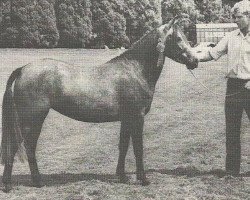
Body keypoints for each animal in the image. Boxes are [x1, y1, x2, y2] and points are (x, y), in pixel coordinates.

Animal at [0, 17, 198, 192]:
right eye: (178, 38)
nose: (194, 61)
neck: (135, 70)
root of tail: (23, 69)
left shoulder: (126, 119)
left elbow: (123, 146)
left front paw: (122, 176)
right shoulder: (137, 117)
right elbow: (138, 148)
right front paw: (143, 179)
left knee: (28, 148)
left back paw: (36, 182)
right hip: (30, 120)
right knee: (18, 146)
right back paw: (10, 185)